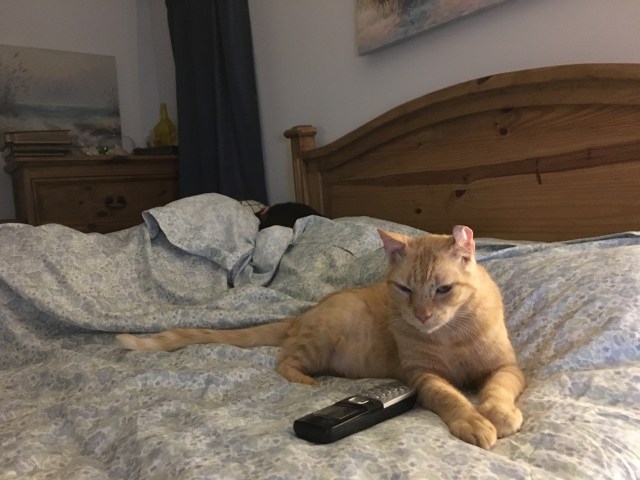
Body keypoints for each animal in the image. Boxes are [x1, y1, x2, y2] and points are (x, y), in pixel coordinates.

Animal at [117, 225, 525, 449]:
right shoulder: (423, 377)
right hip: (321, 340)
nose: (421, 315)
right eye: (405, 289)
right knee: (284, 360)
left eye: (443, 290)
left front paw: (497, 412)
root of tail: (305, 313)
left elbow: (498, 387)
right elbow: (450, 397)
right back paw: (308, 381)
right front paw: (474, 420)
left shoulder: (508, 367)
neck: (450, 336)